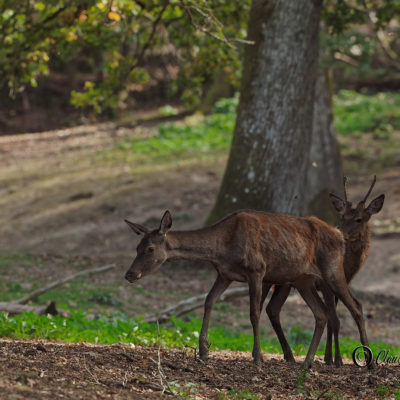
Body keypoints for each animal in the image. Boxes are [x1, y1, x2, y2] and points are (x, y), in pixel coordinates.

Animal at [123, 203, 370, 368]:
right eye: (136, 247)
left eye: (150, 249)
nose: (129, 274)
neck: (222, 247)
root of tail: (339, 236)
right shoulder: (224, 274)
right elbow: (209, 301)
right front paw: (203, 351)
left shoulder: (256, 270)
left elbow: (253, 313)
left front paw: (257, 358)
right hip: (303, 280)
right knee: (322, 313)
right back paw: (306, 363)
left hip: (332, 271)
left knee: (356, 307)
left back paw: (368, 361)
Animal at [260, 175, 384, 366]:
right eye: (342, 217)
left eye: (359, 219)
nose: (342, 234)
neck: (348, 268)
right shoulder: (324, 283)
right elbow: (334, 320)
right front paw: (335, 359)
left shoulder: (338, 284)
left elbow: (335, 316)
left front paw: (328, 357)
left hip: (284, 284)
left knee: (272, 309)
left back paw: (289, 355)